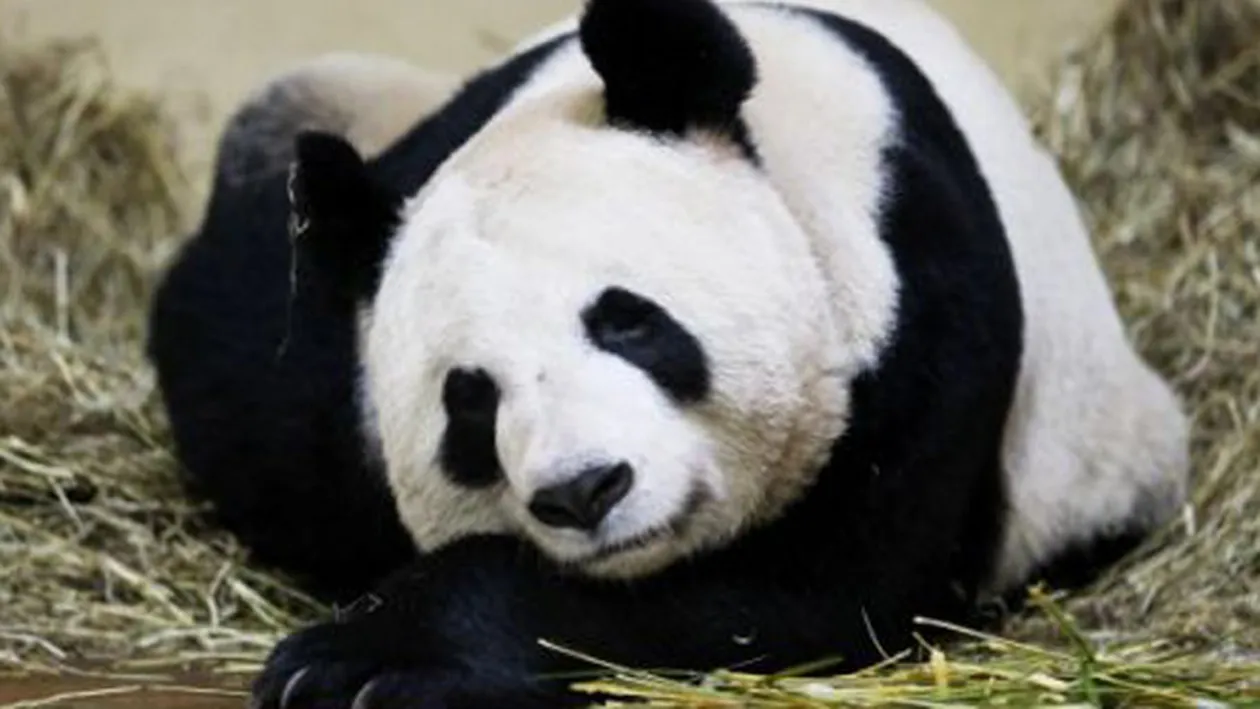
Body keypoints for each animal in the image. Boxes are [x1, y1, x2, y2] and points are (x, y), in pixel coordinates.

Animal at [146, 0, 1190, 707]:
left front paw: (360, 660)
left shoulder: (920, 322)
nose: (582, 490)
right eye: (469, 401)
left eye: (628, 321)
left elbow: (800, 596)